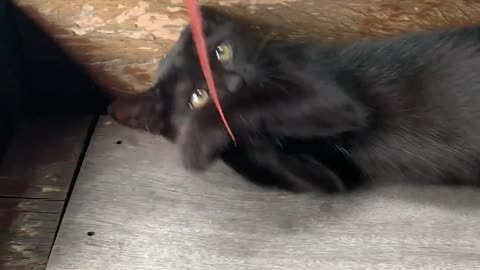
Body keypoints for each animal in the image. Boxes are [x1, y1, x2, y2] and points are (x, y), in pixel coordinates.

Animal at [110, 6, 480, 192]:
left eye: (222, 51)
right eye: (198, 96)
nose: (236, 83)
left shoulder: (331, 98)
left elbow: (262, 102)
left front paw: (197, 143)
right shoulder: (337, 177)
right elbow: (310, 175)